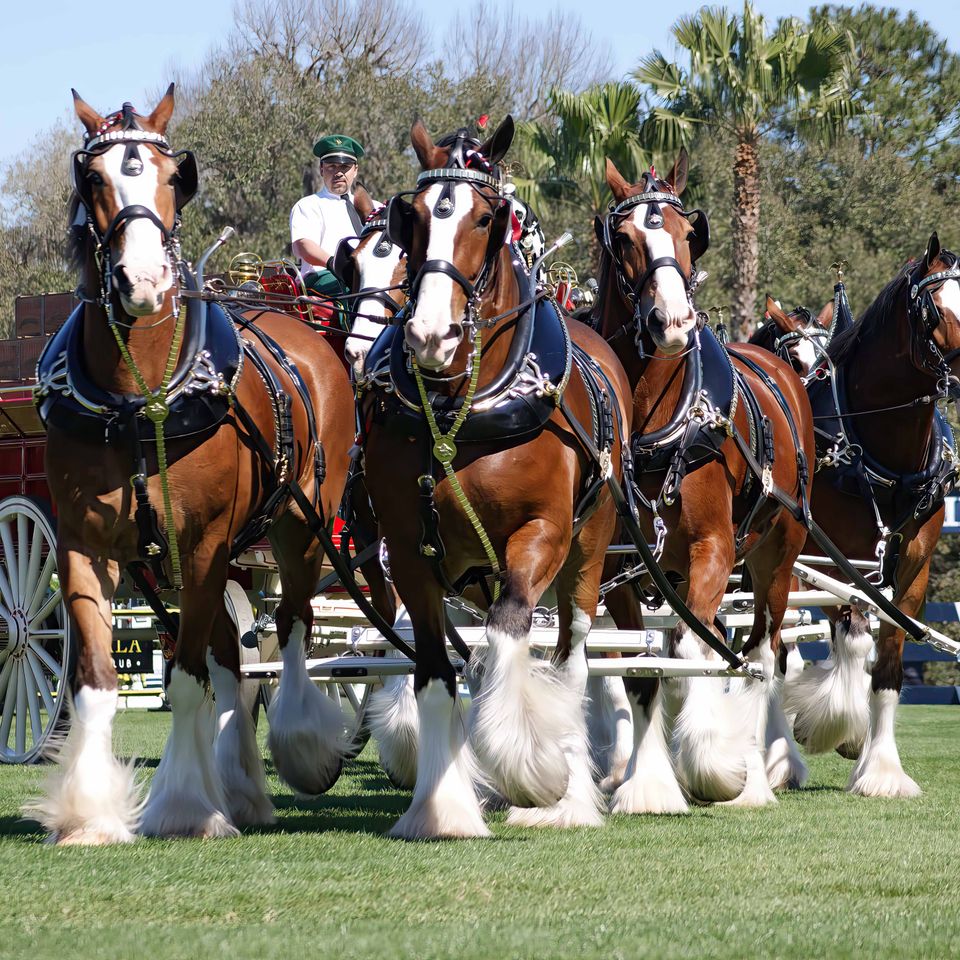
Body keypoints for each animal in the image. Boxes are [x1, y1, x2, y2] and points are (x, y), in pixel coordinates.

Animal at [30, 88, 358, 840]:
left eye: (173, 177)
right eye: (92, 179)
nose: (144, 281)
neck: (139, 397)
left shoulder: (201, 543)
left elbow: (183, 679)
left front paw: (183, 806)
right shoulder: (84, 545)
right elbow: (96, 680)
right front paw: (88, 812)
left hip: (300, 529)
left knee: (292, 626)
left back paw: (298, 747)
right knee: (233, 655)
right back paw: (238, 785)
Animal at [356, 118, 632, 840]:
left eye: (485, 218)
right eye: (414, 218)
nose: (430, 333)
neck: (461, 406)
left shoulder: (541, 534)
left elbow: (511, 629)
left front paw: (528, 768)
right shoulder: (411, 551)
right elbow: (432, 672)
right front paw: (442, 809)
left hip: (588, 550)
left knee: (571, 656)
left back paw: (567, 797)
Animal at [592, 156, 816, 808]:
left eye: (691, 235)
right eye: (623, 238)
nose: (671, 322)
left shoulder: (712, 549)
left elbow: (692, 656)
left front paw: (709, 761)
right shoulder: (619, 568)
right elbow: (641, 671)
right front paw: (644, 782)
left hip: (776, 556)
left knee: (764, 653)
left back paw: (764, 771)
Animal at [784, 236, 956, 800]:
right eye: (934, 310)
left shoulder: (912, 566)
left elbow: (889, 660)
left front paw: (880, 767)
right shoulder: (837, 561)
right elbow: (848, 639)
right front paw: (831, 725)